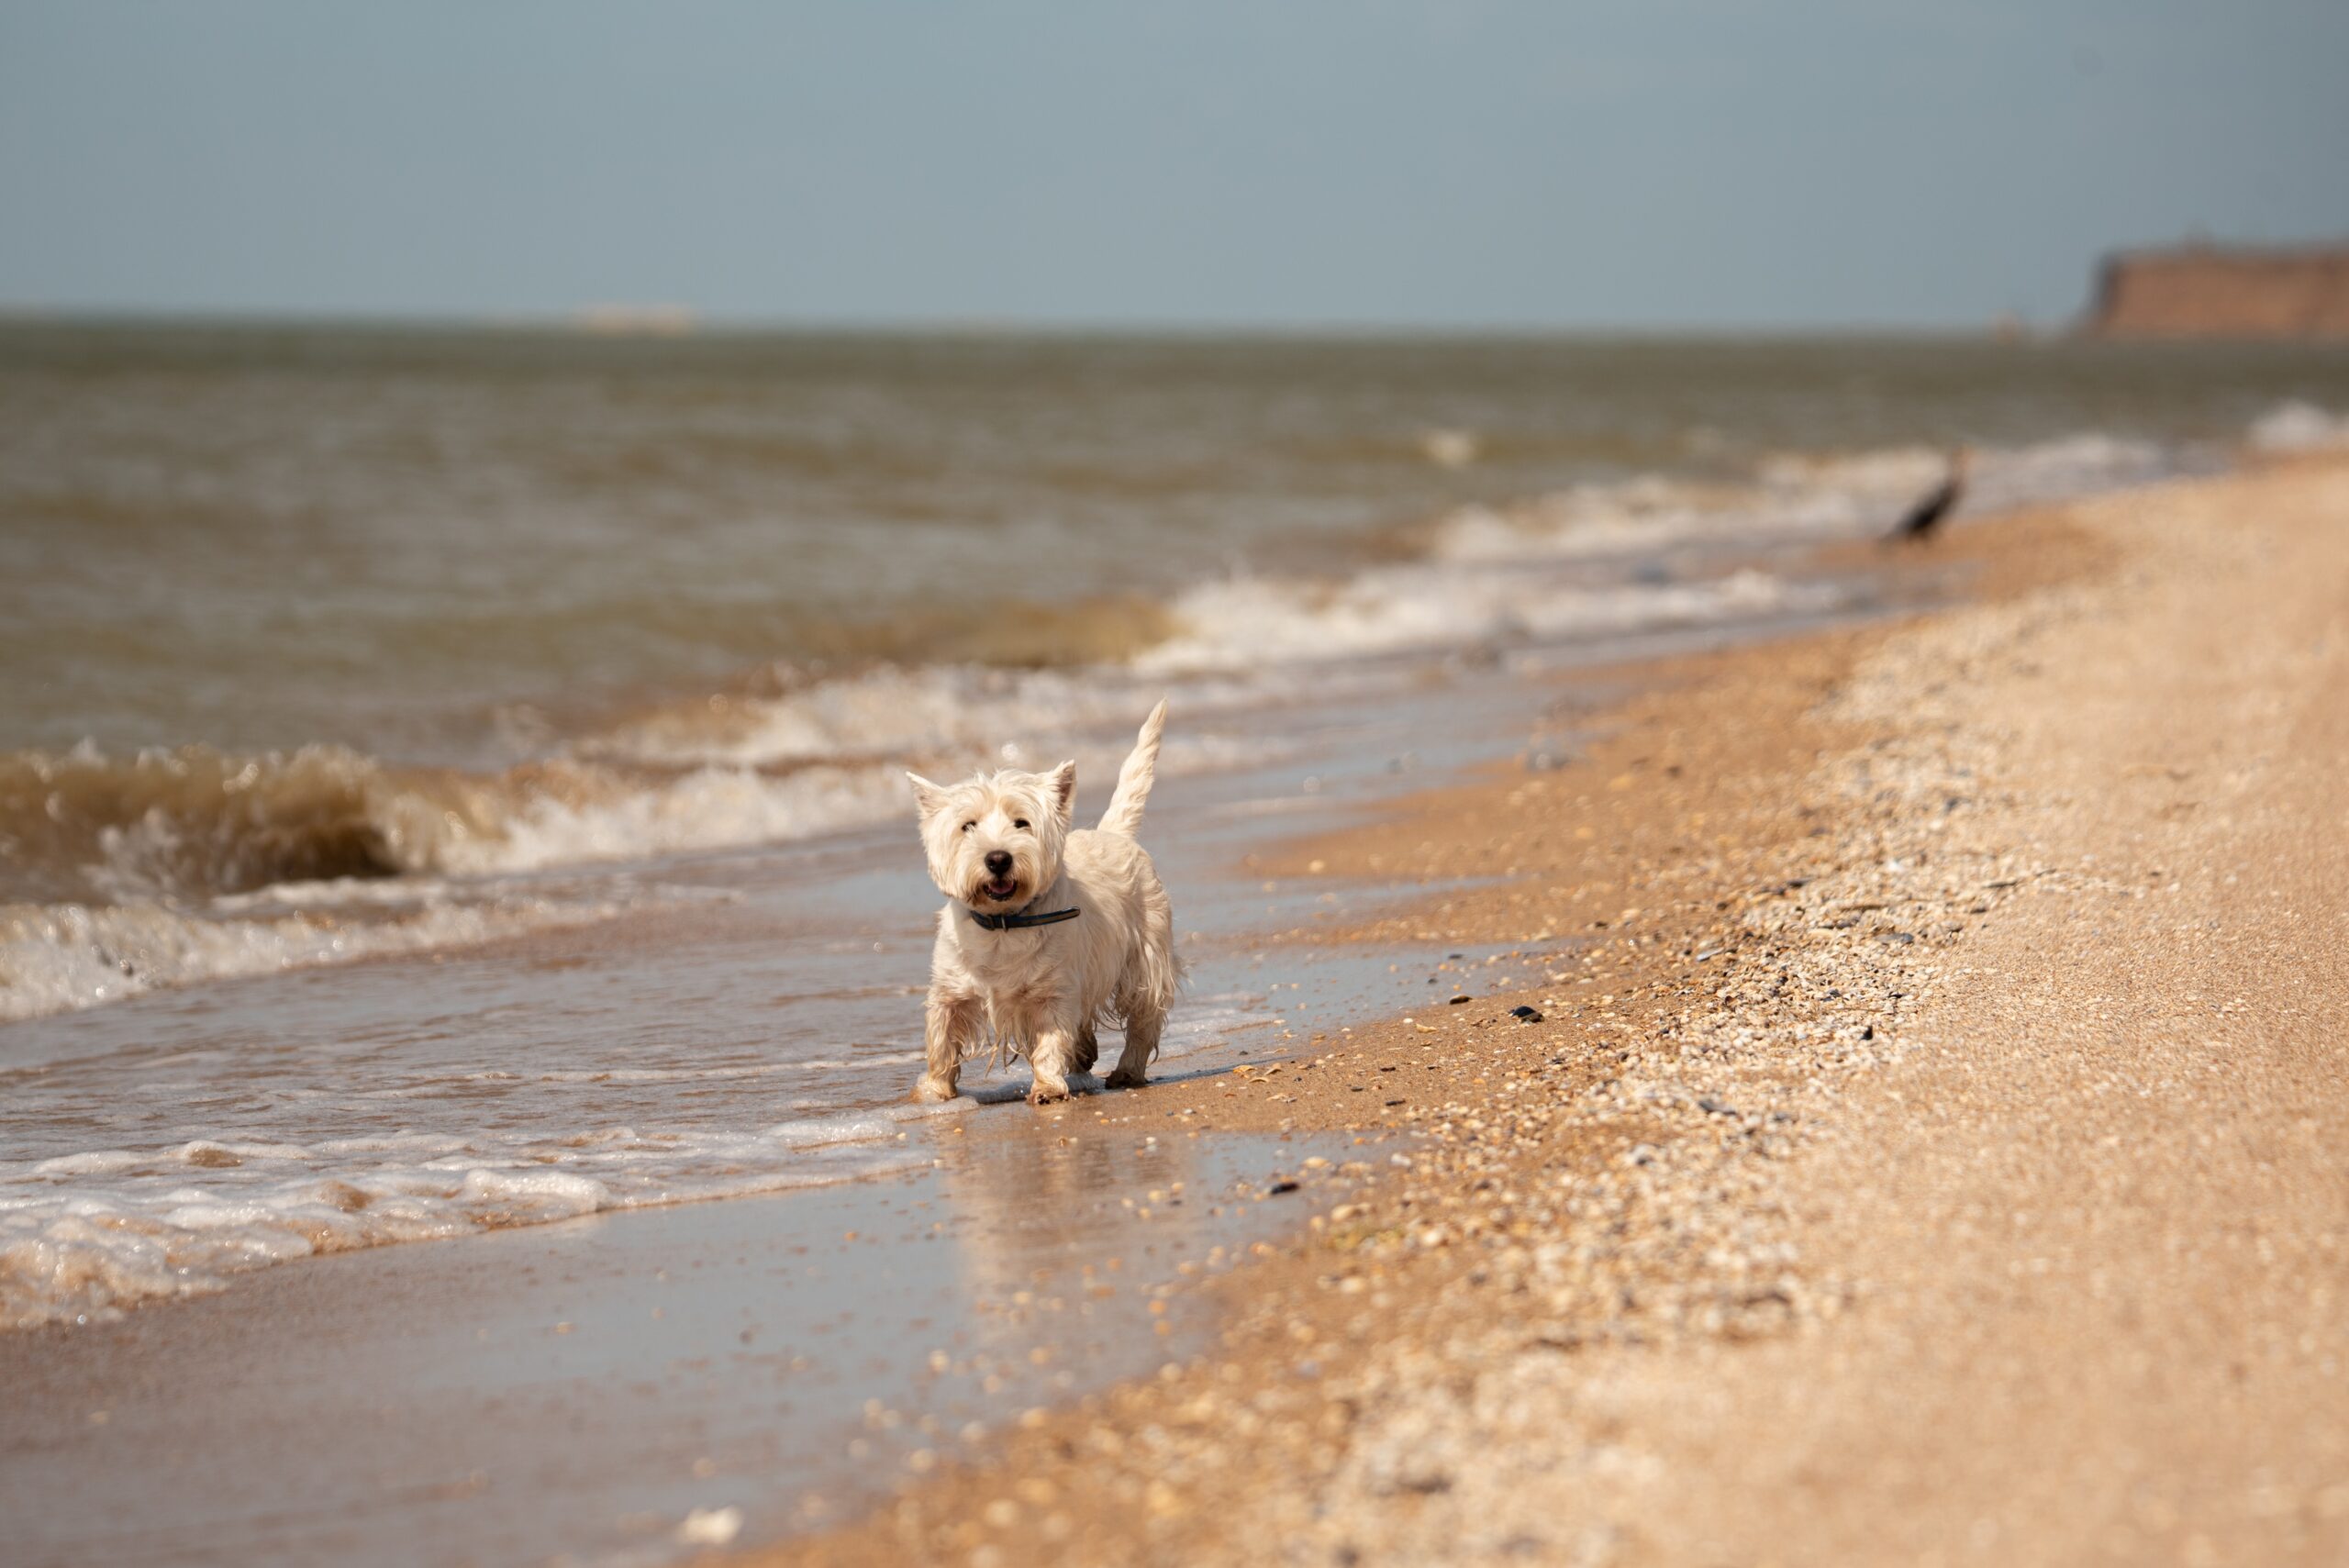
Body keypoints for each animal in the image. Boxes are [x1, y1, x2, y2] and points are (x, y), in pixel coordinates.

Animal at [907, 699, 1184, 1103]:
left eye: (1022, 823)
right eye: (967, 825)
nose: (998, 858)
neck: (1004, 924)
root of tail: (1115, 833)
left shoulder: (1057, 991)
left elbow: (1051, 1040)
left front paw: (1048, 1088)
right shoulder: (950, 991)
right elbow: (941, 1039)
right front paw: (933, 1091)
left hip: (1145, 957)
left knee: (1143, 1017)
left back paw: (1127, 1071)